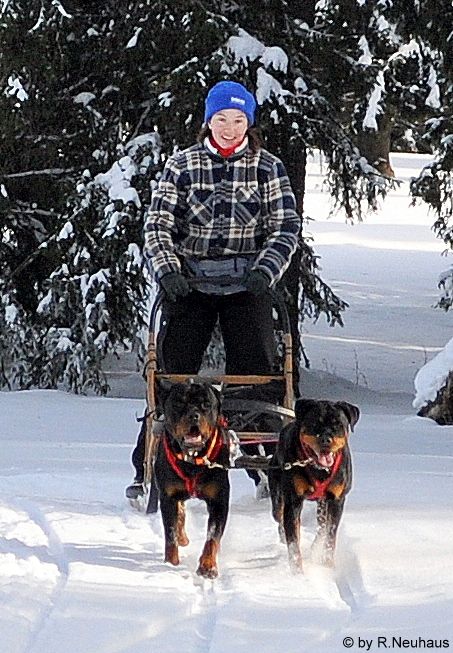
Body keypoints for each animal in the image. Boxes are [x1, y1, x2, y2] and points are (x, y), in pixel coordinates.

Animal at [153, 380, 230, 580]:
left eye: (206, 404)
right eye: (179, 403)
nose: (194, 415)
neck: (192, 460)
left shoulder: (219, 500)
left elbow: (212, 537)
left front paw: (208, 566)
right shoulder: (168, 497)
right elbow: (170, 533)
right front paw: (171, 564)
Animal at [268, 398, 360, 572]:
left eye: (338, 424)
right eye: (314, 423)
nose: (325, 439)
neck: (319, 469)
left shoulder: (337, 500)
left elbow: (330, 534)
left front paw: (328, 564)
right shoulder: (293, 500)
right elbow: (293, 539)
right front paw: (297, 572)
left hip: (323, 503)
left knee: (322, 526)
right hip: (277, 492)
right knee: (279, 515)